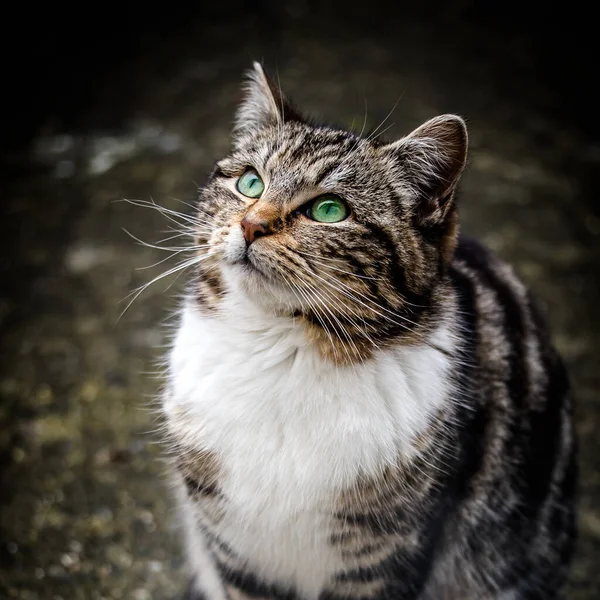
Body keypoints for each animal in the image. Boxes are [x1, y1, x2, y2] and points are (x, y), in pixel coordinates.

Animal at [161, 63, 576, 596]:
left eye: (329, 210)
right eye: (251, 183)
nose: (251, 225)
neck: (281, 351)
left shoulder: (383, 555)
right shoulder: (236, 551)